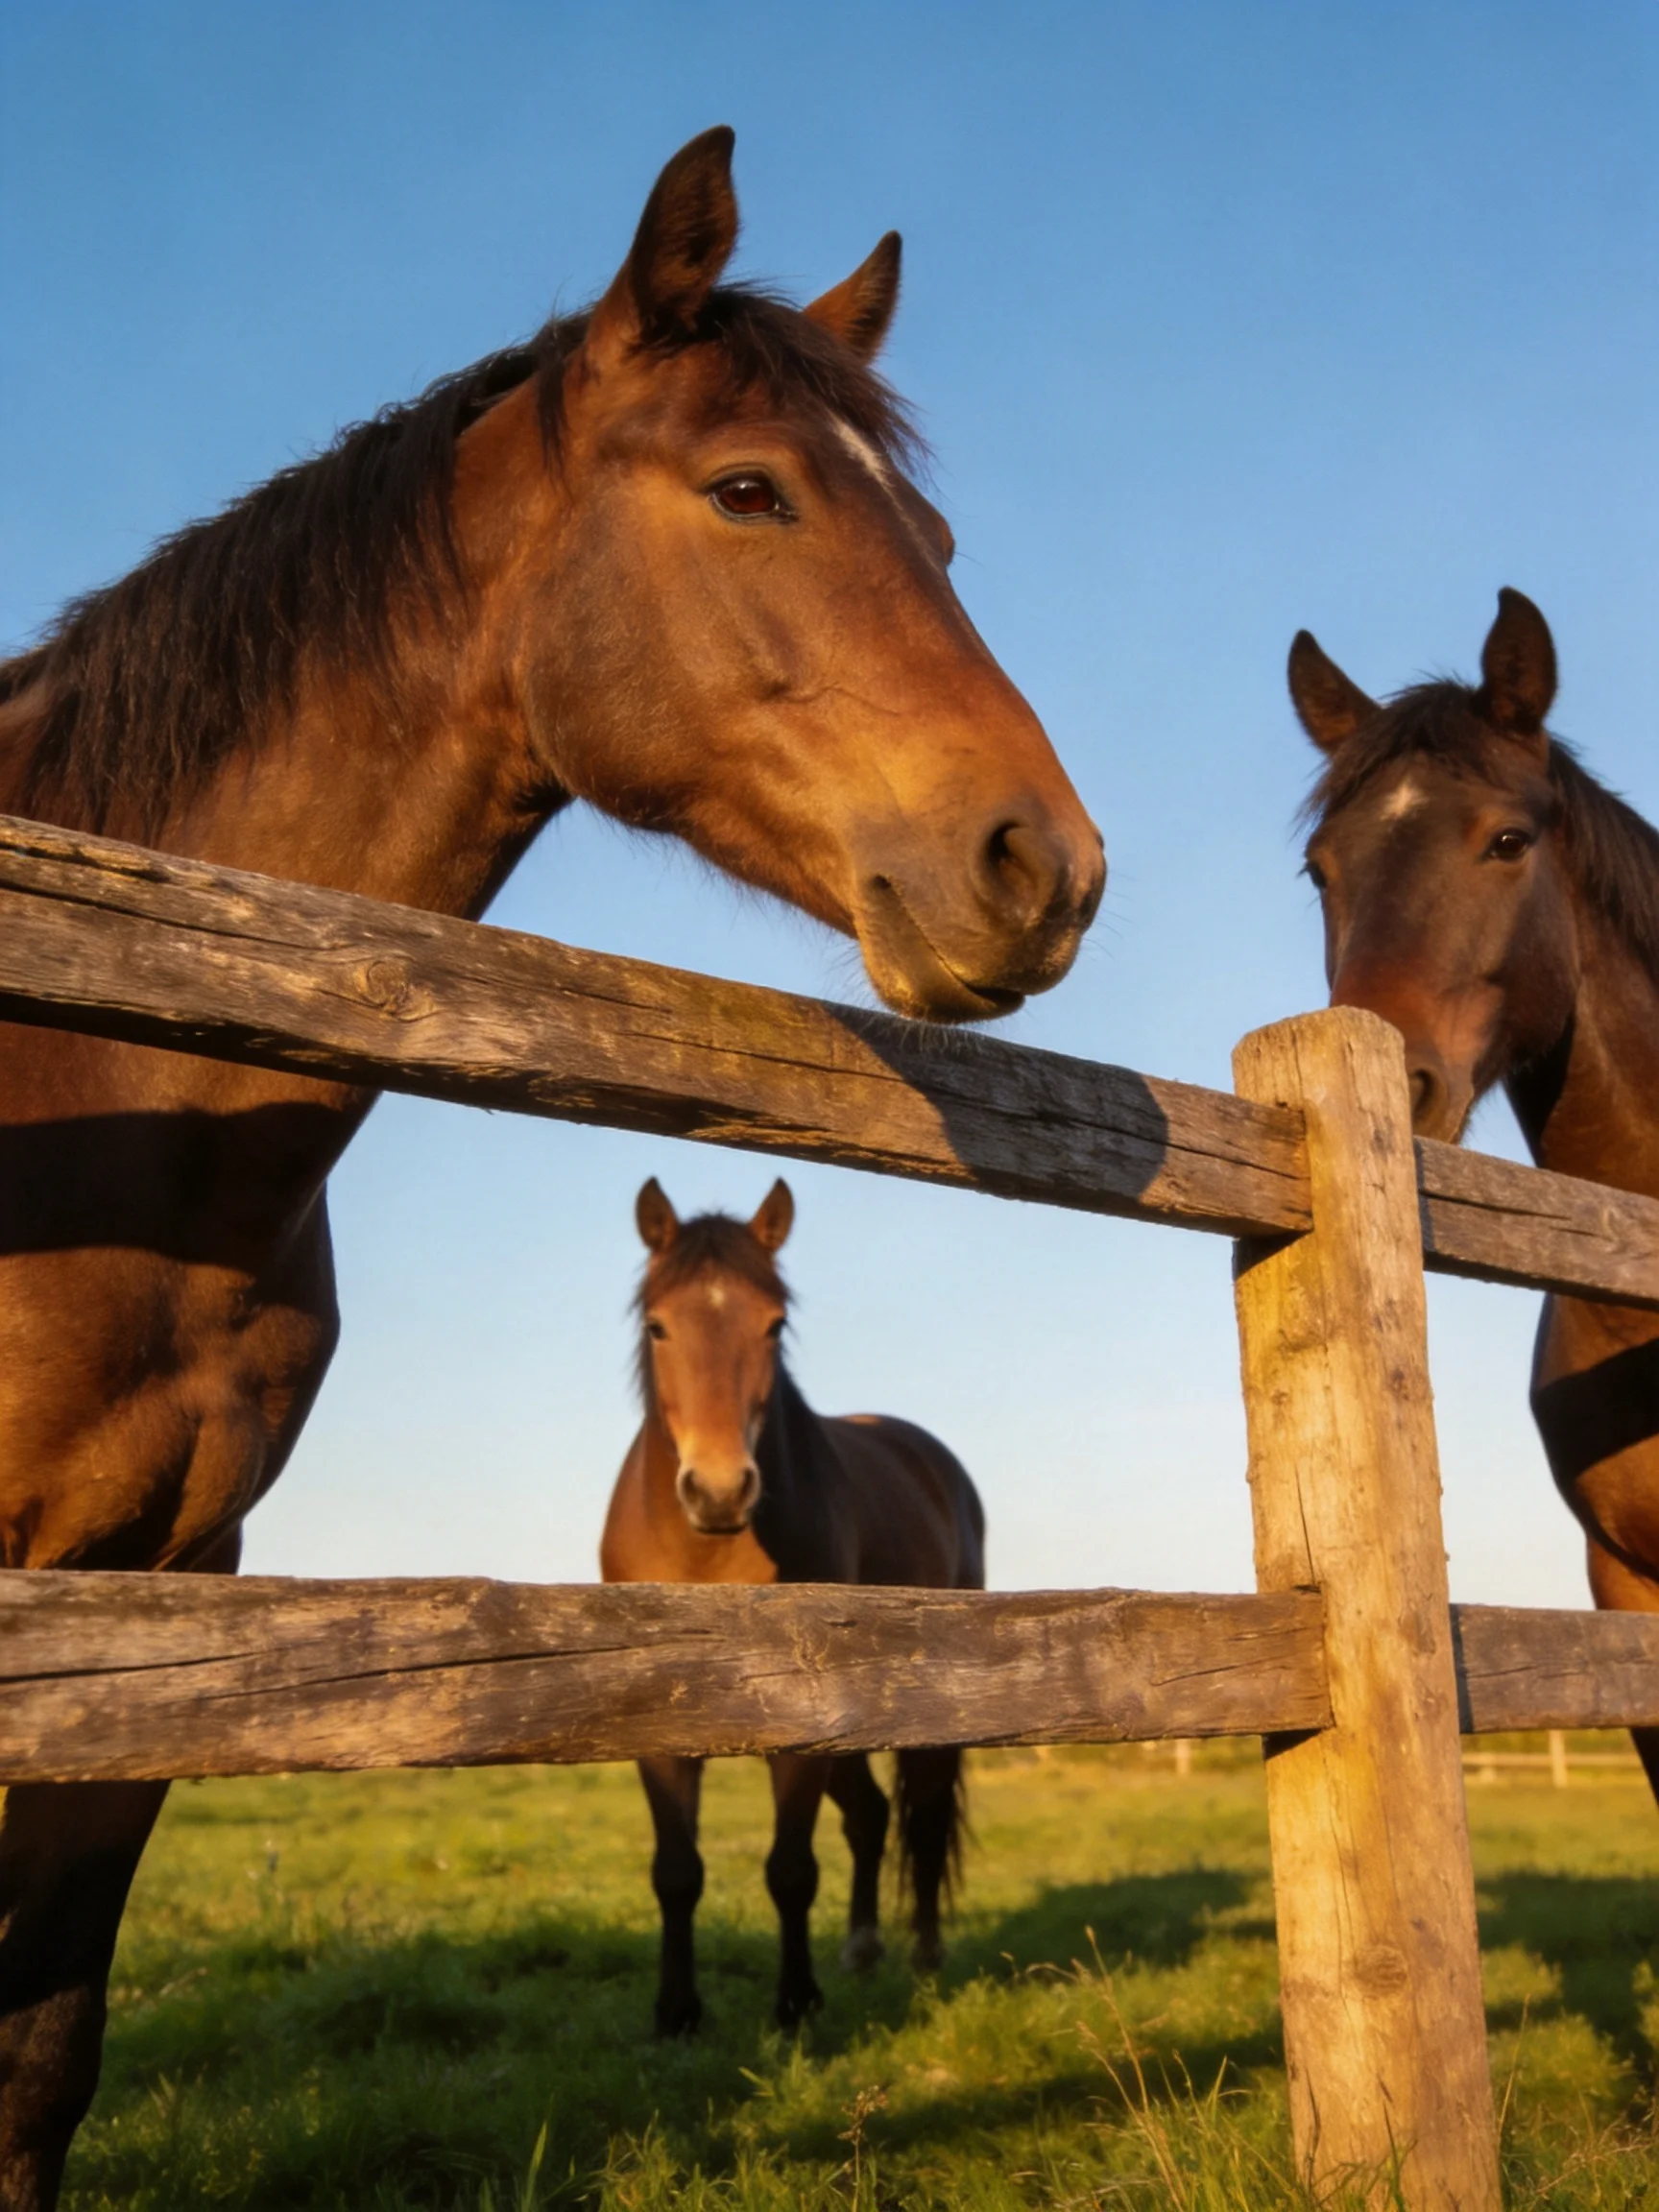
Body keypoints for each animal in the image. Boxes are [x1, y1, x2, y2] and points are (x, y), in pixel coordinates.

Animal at [600, 1177, 984, 2034]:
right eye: (657, 1325)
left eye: (774, 1324)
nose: (718, 1491)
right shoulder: (659, 1732)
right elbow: (676, 1870)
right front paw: (677, 2012)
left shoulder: (800, 1732)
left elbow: (790, 1868)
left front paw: (796, 2007)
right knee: (871, 1815)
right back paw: (863, 1949)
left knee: (923, 1817)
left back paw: (925, 1957)